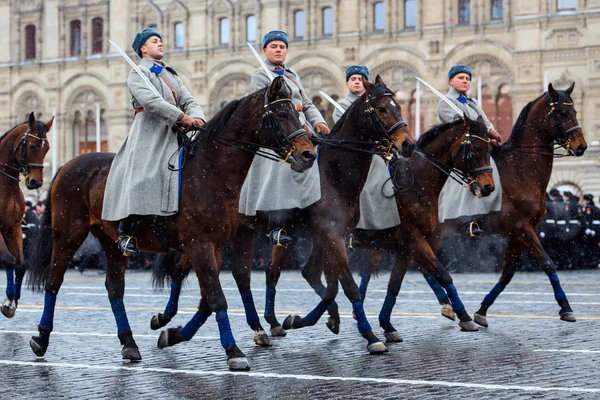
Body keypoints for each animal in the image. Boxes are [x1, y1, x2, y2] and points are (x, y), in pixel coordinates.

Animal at [27, 76, 318, 370]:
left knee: (115, 288)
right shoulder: (199, 244)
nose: (308, 154)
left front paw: (173, 333)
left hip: (110, 241)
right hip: (67, 235)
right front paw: (233, 351)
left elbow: (207, 298)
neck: (210, 174)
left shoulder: (214, 246)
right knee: (54, 281)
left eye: (298, 112)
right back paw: (41, 337)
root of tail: (67, 165)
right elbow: (216, 296)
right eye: (281, 114)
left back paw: (129, 343)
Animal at [150, 75, 418, 354]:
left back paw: (254, 328)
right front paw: (370, 336)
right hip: (208, 237)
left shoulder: (328, 237)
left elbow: (326, 284)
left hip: (238, 234)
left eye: (398, 106)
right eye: (382, 108)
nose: (408, 144)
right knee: (183, 272)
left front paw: (307, 319)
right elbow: (348, 286)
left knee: (239, 276)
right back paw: (165, 320)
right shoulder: (331, 236)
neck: (333, 175)